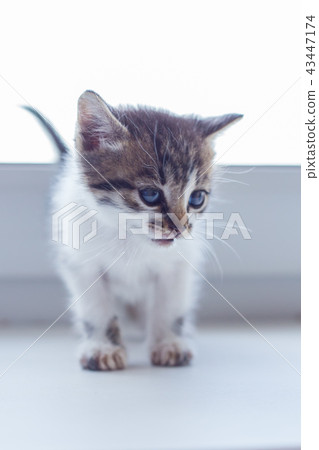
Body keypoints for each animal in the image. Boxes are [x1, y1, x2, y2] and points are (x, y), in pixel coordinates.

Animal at [25, 91, 242, 370]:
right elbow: (96, 307)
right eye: (150, 195)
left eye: (197, 198)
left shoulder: (179, 262)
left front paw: (169, 343)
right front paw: (103, 348)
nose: (179, 228)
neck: (129, 238)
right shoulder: (81, 262)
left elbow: (169, 304)